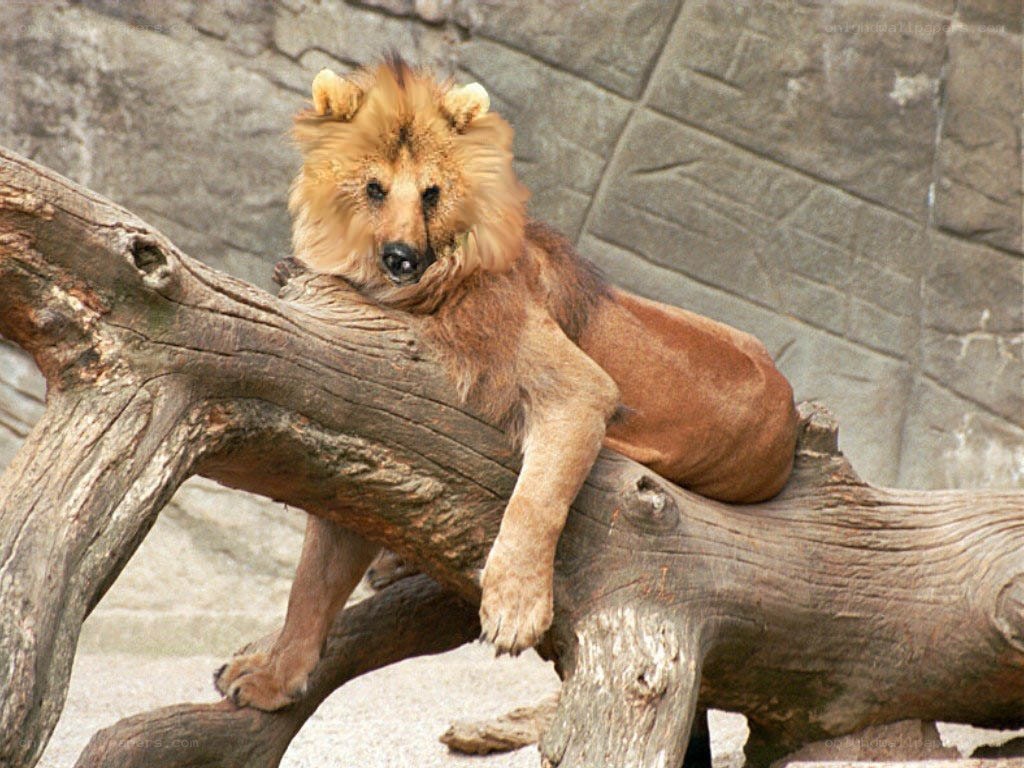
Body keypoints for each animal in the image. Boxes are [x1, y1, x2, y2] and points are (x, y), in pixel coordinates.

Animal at [215, 56, 798, 711]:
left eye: (432, 193)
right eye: (374, 188)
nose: (401, 257)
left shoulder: (580, 391)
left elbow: (536, 502)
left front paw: (516, 608)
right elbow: (312, 582)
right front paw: (271, 677)